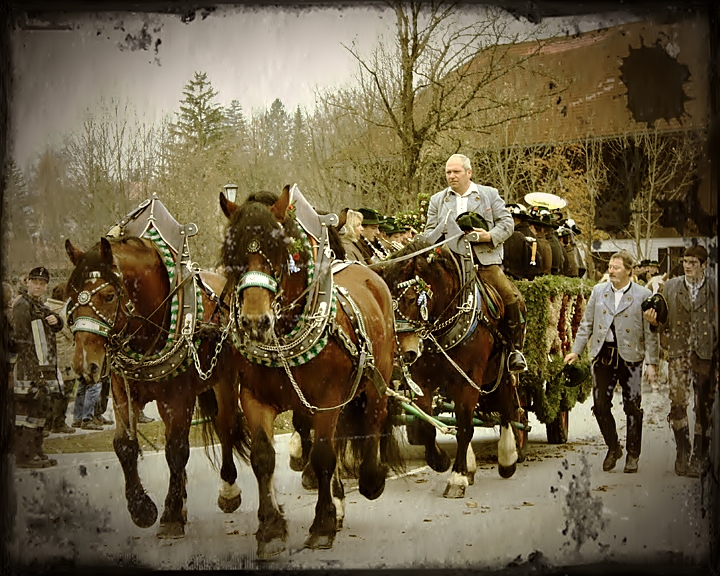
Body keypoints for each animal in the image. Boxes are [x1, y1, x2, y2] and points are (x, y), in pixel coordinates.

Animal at [64, 232, 250, 536]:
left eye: (108, 296)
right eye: (70, 297)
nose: (84, 366)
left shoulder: (179, 399)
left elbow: (176, 449)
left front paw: (171, 514)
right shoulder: (122, 391)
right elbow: (124, 446)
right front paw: (142, 509)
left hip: (225, 380)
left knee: (226, 427)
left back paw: (228, 490)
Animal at [219, 187, 402, 556]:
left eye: (280, 250)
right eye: (232, 253)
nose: (255, 321)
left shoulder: (328, 399)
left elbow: (323, 455)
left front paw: (322, 526)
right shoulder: (253, 397)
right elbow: (263, 457)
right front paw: (271, 529)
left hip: (376, 379)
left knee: (374, 421)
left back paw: (371, 478)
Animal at [374, 236, 520, 498]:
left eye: (410, 299)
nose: (404, 353)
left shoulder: (468, 379)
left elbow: (465, 428)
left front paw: (457, 478)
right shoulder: (424, 380)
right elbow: (426, 423)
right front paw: (440, 461)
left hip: (499, 371)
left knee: (506, 408)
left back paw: (507, 459)